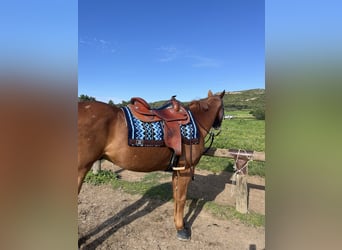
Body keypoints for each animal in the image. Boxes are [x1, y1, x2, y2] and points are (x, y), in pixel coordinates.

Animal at [79, 90, 226, 240]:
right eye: (223, 108)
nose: (218, 125)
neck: (197, 122)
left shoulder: (176, 170)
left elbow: (176, 196)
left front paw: (176, 222)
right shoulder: (185, 170)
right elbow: (182, 198)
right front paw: (181, 229)